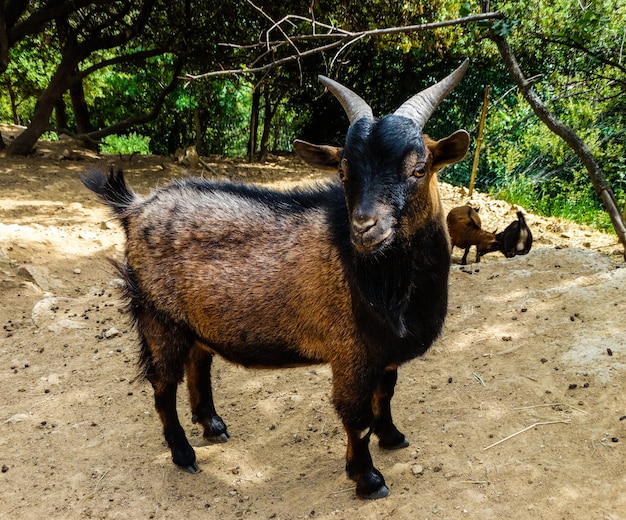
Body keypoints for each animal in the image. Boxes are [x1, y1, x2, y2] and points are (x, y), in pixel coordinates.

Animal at [79, 60, 468, 500]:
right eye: (343, 171)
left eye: (419, 169)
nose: (365, 227)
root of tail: (134, 208)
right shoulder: (351, 352)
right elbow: (357, 417)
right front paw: (368, 479)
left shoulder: (384, 352)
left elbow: (385, 395)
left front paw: (393, 437)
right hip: (158, 317)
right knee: (163, 386)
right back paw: (183, 454)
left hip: (196, 322)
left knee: (199, 364)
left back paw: (212, 425)